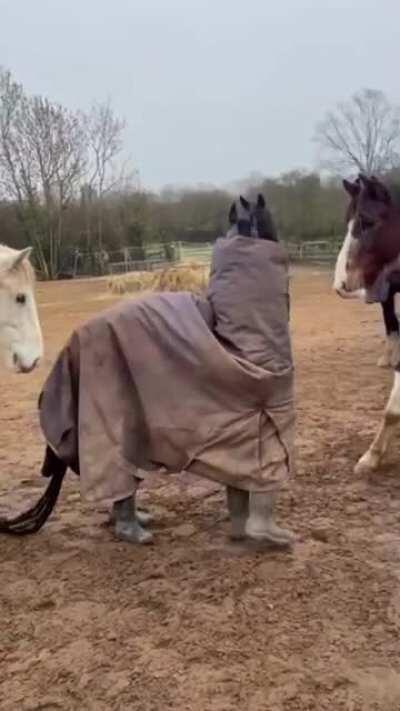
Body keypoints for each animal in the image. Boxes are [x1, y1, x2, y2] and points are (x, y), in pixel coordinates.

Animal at [334, 177, 400, 368]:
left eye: (368, 222)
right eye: (347, 222)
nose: (340, 283)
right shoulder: (386, 293)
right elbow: (391, 322)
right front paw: (389, 358)